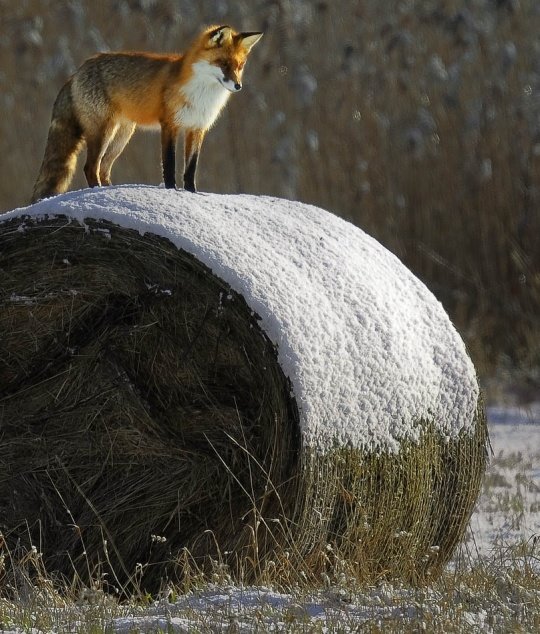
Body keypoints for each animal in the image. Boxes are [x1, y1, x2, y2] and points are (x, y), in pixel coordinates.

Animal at [30, 25, 262, 200]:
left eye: (240, 65)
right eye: (223, 64)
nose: (238, 86)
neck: (202, 94)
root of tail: (77, 71)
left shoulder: (197, 128)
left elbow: (190, 169)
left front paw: (192, 193)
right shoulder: (170, 124)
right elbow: (169, 163)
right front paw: (171, 190)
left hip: (122, 136)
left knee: (103, 168)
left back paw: (110, 190)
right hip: (103, 132)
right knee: (90, 167)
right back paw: (97, 191)